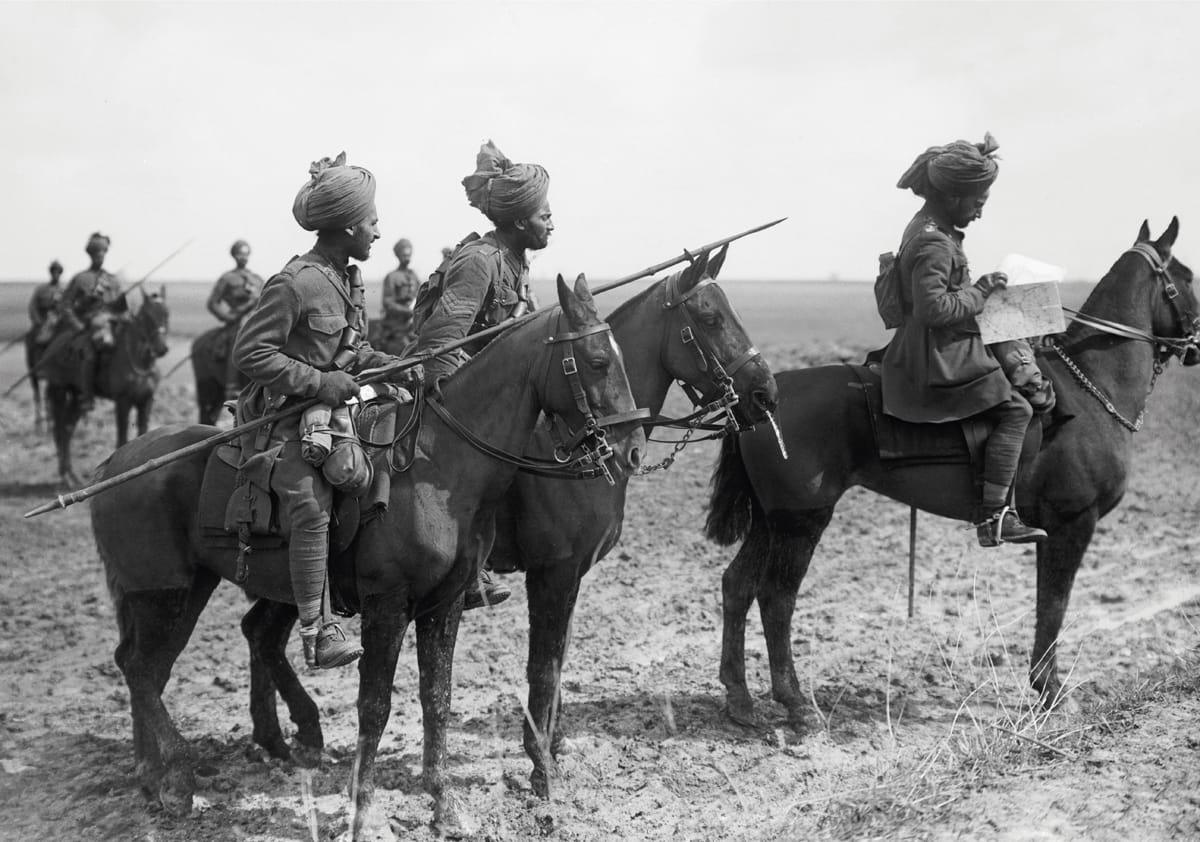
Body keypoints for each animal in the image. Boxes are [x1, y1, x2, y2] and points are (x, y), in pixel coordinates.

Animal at [40, 291, 169, 484]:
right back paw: (65, 477)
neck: (139, 362)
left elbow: (143, 431)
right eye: (146, 317)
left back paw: (72, 476)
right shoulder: (123, 402)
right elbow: (122, 437)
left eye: (166, 314)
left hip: (77, 396)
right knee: (60, 429)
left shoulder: (146, 401)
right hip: (59, 390)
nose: (162, 349)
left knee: (67, 427)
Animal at [93, 273, 652, 839]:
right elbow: (377, 705)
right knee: (142, 669)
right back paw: (177, 778)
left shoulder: (445, 604)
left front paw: (443, 803)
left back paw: (160, 772)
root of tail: (114, 461)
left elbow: (437, 697)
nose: (630, 448)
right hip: (164, 595)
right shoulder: (393, 605)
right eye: (597, 361)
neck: (440, 467)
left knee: (157, 664)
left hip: (190, 592)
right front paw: (363, 812)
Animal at [705, 220, 1195, 729]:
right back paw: (796, 703)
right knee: (776, 599)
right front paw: (1051, 691)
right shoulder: (1072, 524)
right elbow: (1053, 605)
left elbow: (1049, 604)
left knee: (737, 586)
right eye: (1188, 276)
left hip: (771, 521)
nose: (1196, 343)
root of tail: (760, 403)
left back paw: (740, 700)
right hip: (801, 523)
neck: (1090, 388)